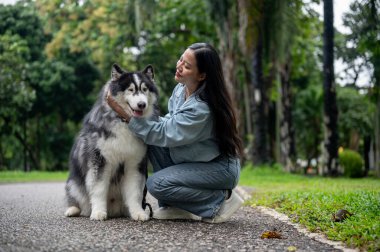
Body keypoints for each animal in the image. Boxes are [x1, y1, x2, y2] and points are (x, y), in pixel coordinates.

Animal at [63, 63, 157, 220]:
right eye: (130, 89)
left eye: (144, 89)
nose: (142, 104)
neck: (124, 122)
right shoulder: (100, 161)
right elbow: (99, 189)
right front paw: (98, 212)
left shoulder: (134, 163)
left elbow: (134, 192)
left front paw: (138, 212)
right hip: (74, 183)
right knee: (77, 199)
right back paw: (72, 209)